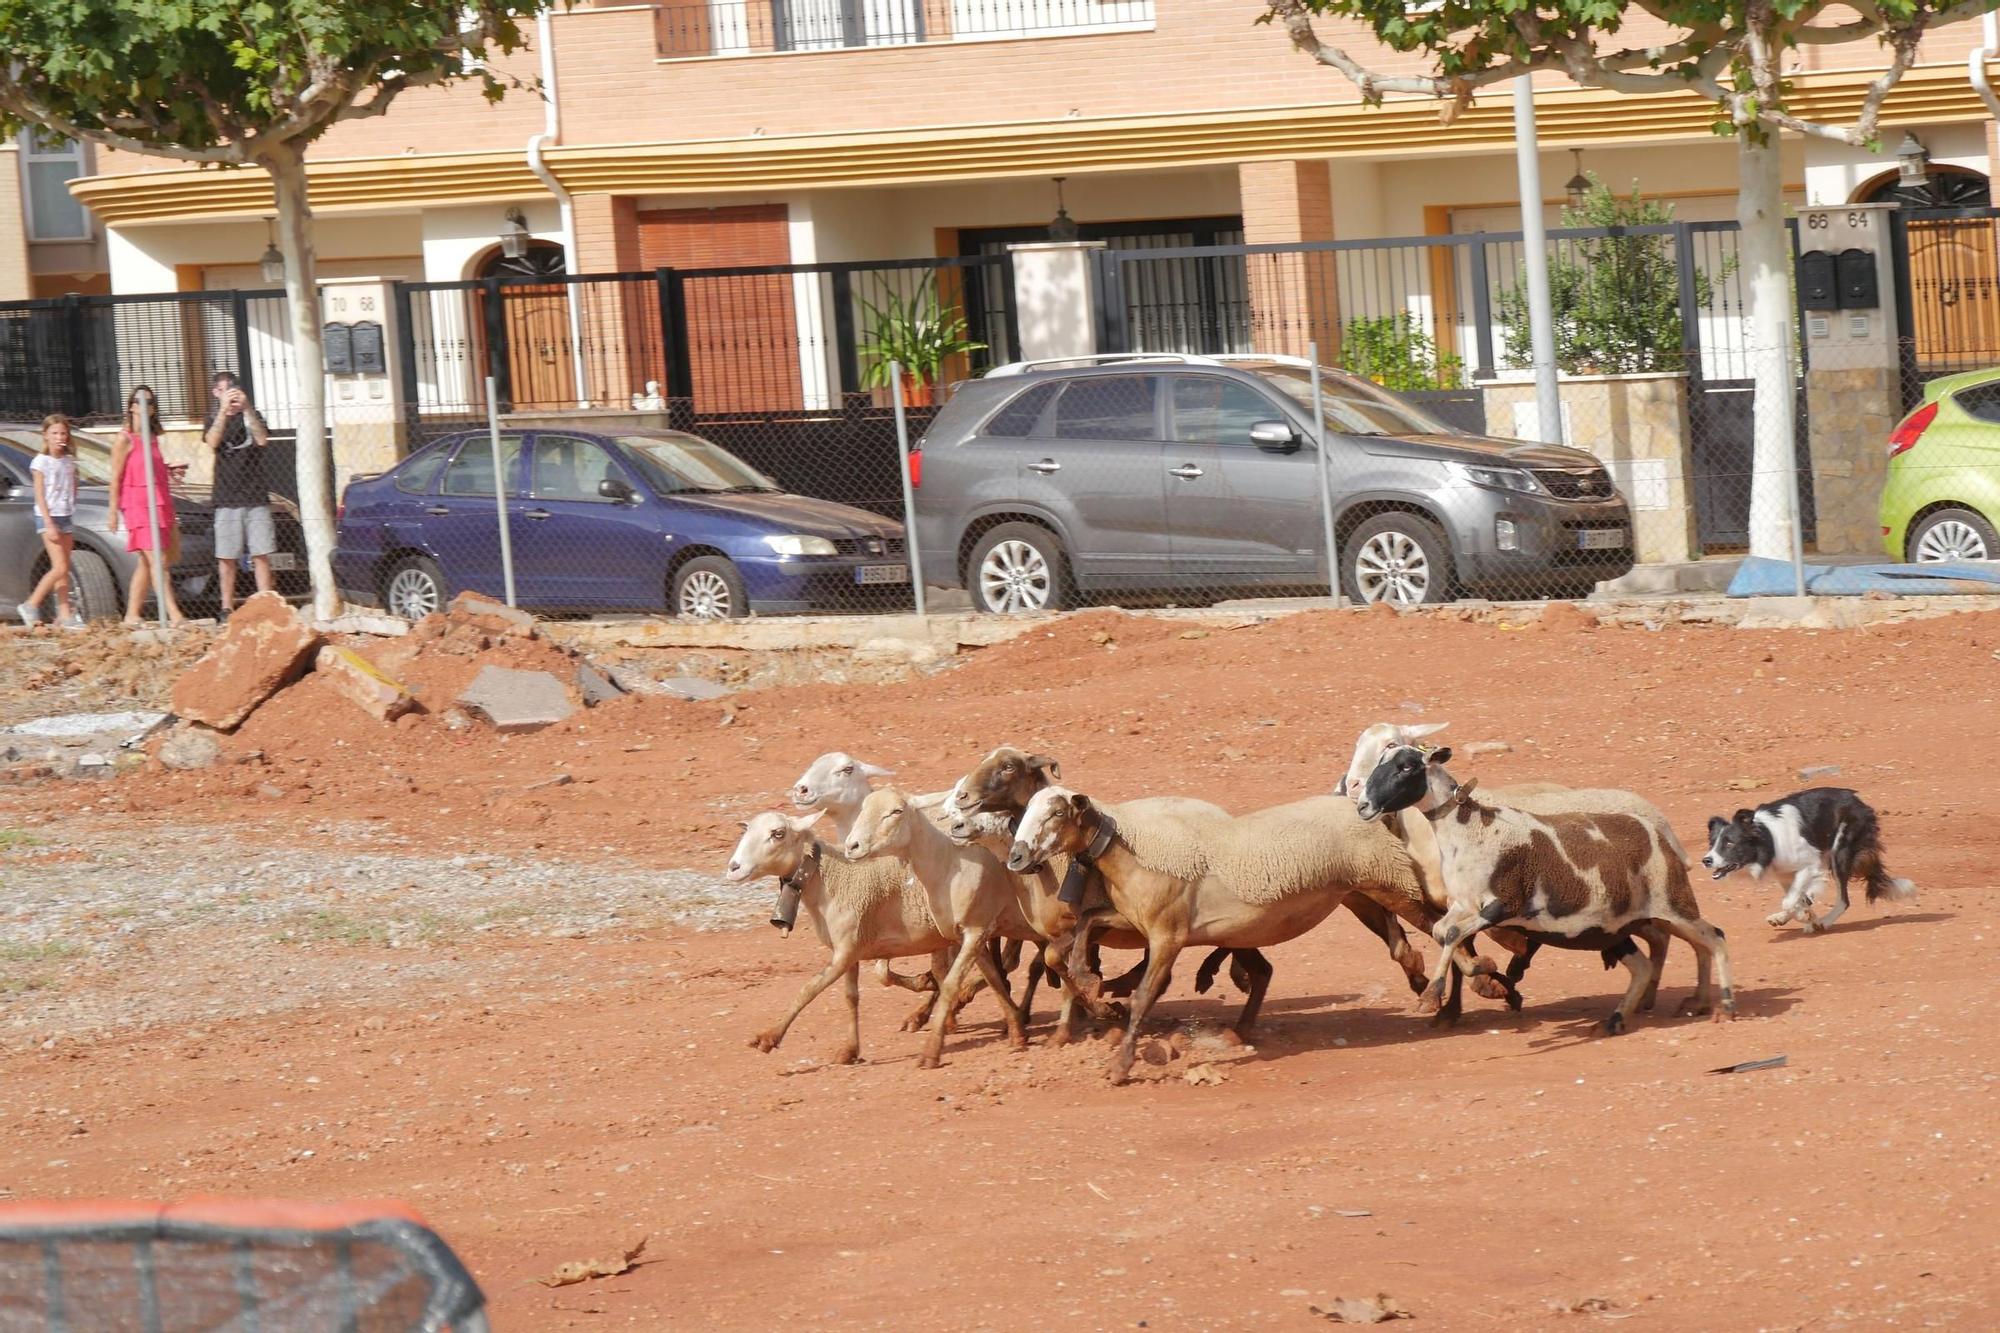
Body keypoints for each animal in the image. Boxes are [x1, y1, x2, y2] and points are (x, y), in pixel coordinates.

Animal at [724, 804, 964, 1064]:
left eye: (778, 833)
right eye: (746, 830)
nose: (733, 868)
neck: (832, 878)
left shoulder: (845, 951)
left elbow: (809, 989)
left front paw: (770, 1037)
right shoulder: (850, 951)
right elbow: (851, 997)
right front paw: (850, 1050)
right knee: (945, 972)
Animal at [840, 784, 1032, 1064]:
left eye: (896, 812)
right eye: (862, 809)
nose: (852, 846)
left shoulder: (968, 930)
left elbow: (949, 976)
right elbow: (889, 972)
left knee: (1015, 959)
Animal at [1016, 780, 1440, 1080]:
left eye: (1056, 814)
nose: (1016, 857)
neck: (1134, 850)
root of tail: (1370, 811)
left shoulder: (1168, 936)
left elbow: (1144, 996)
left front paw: (1121, 1066)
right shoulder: (1136, 920)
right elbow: (1088, 923)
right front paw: (1090, 981)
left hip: (1391, 879)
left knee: (1443, 926)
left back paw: (1442, 1000)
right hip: (1357, 894)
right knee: (1395, 944)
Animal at [1712, 784, 1912, 928]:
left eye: (1729, 843)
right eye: (1712, 843)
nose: (1707, 860)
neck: (1768, 836)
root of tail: (1861, 803)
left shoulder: (1809, 864)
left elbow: (1790, 901)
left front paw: (1805, 916)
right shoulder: (1785, 874)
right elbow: (1796, 898)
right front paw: (1802, 915)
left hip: (1840, 853)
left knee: (1843, 900)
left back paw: (1824, 921)